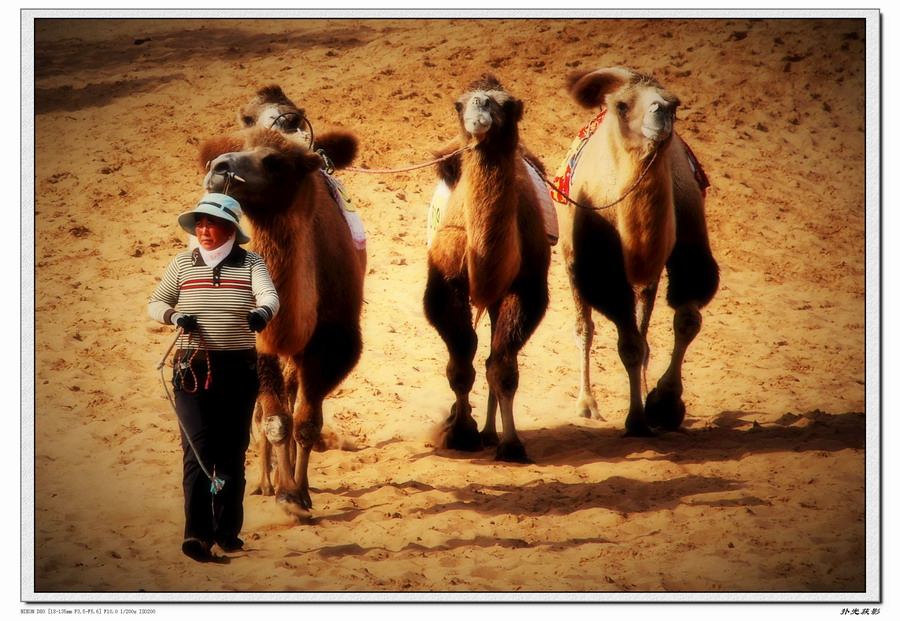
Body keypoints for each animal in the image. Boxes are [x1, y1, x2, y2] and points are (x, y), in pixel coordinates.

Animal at [426, 75, 552, 462]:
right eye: (459, 104)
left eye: (507, 104)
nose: (480, 108)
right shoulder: (446, 283)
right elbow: (460, 364)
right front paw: (460, 433)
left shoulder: (525, 288)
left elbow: (503, 366)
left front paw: (511, 445)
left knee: (493, 358)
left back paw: (491, 433)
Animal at [552, 66, 720, 436]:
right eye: (623, 106)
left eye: (676, 103)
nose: (662, 111)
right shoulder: (601, 267)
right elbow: (627, 344)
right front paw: (638, 421)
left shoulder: (687, 248)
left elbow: (686, 321)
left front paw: (663, 404)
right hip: (572, 257)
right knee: (584, 327)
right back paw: (587, 405)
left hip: (646, 279)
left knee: (644, 328)